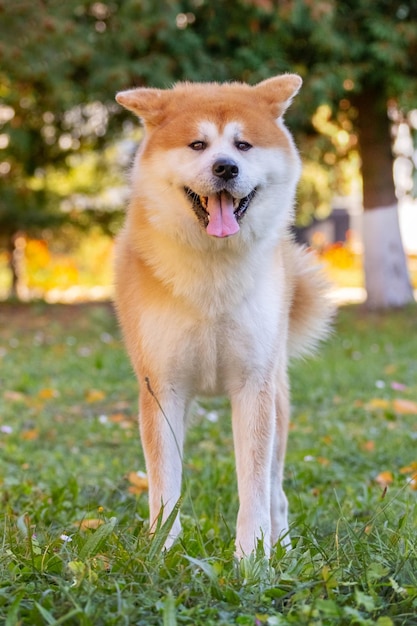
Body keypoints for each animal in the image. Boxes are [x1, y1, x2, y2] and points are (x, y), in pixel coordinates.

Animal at [112, 74, 334, 556]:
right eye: (198, 144)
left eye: (243, 144)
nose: (225, 168)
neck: (213, 276)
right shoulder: (162, 387)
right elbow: (165, 483)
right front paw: (162, 552)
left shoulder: (254, 385)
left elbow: (254, 484)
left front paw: (253, 556)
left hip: (278, 398)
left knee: (275, 488)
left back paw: (282, 542)